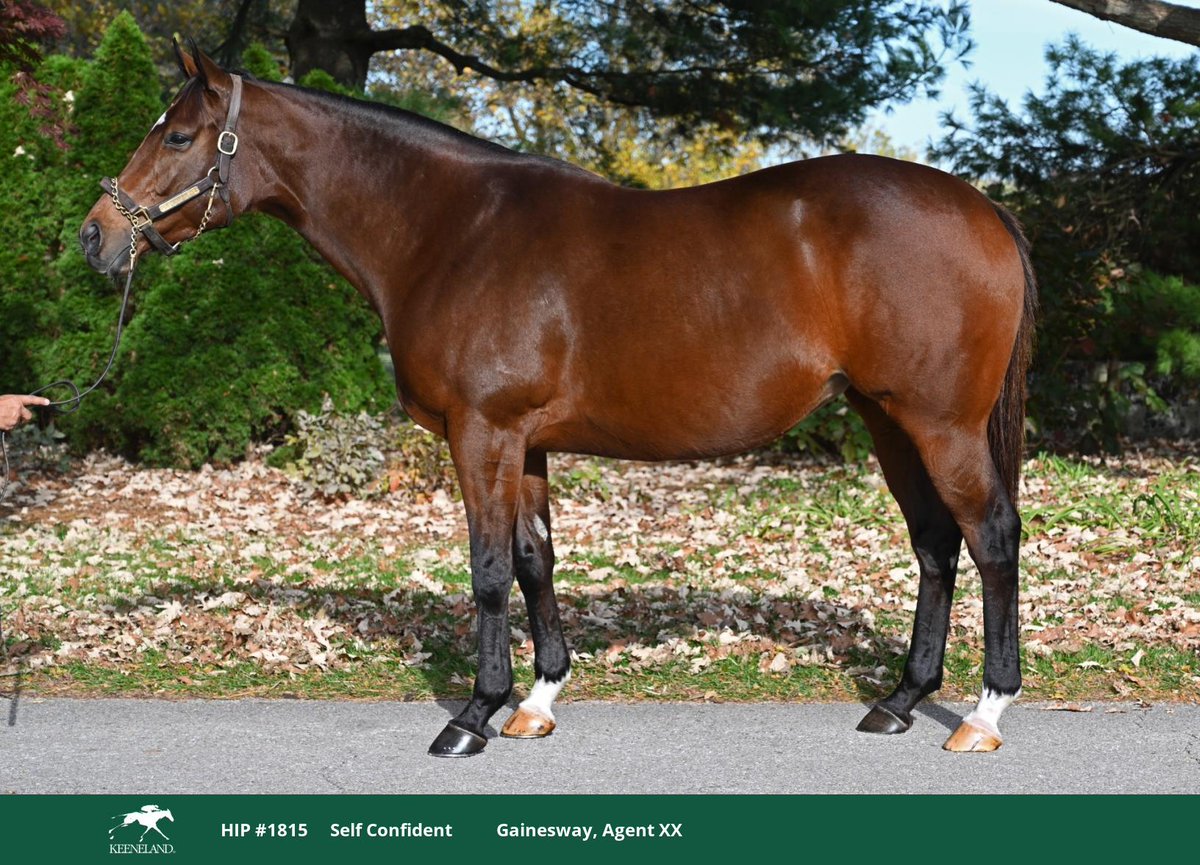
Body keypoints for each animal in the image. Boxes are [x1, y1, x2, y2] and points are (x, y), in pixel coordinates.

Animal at [81, 44, 1036, 758]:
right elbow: (536, 559)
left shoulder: (482, 431)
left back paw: (983, 714)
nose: (97, 235)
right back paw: (902, 699)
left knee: (990, 536)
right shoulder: (525, 440)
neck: (452, 230)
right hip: (887, 418)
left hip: (940, 423)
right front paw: (537, 700)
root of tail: (981, 207)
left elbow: (488, 569)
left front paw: (474, 714)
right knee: (936, 543)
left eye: (178, 135)